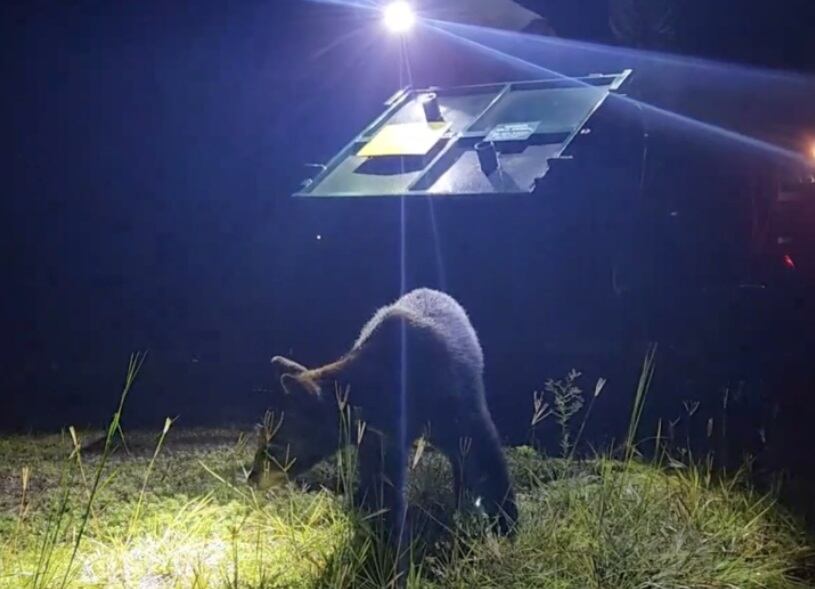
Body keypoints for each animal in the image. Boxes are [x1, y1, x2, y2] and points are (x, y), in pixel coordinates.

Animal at [248, 288, 517, 538]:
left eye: (273, 445)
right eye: (260, 438)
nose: (251, 477)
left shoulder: (467, 419)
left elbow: (491, 469)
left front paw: (506, 524)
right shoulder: (377, 443)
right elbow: (383, 489)